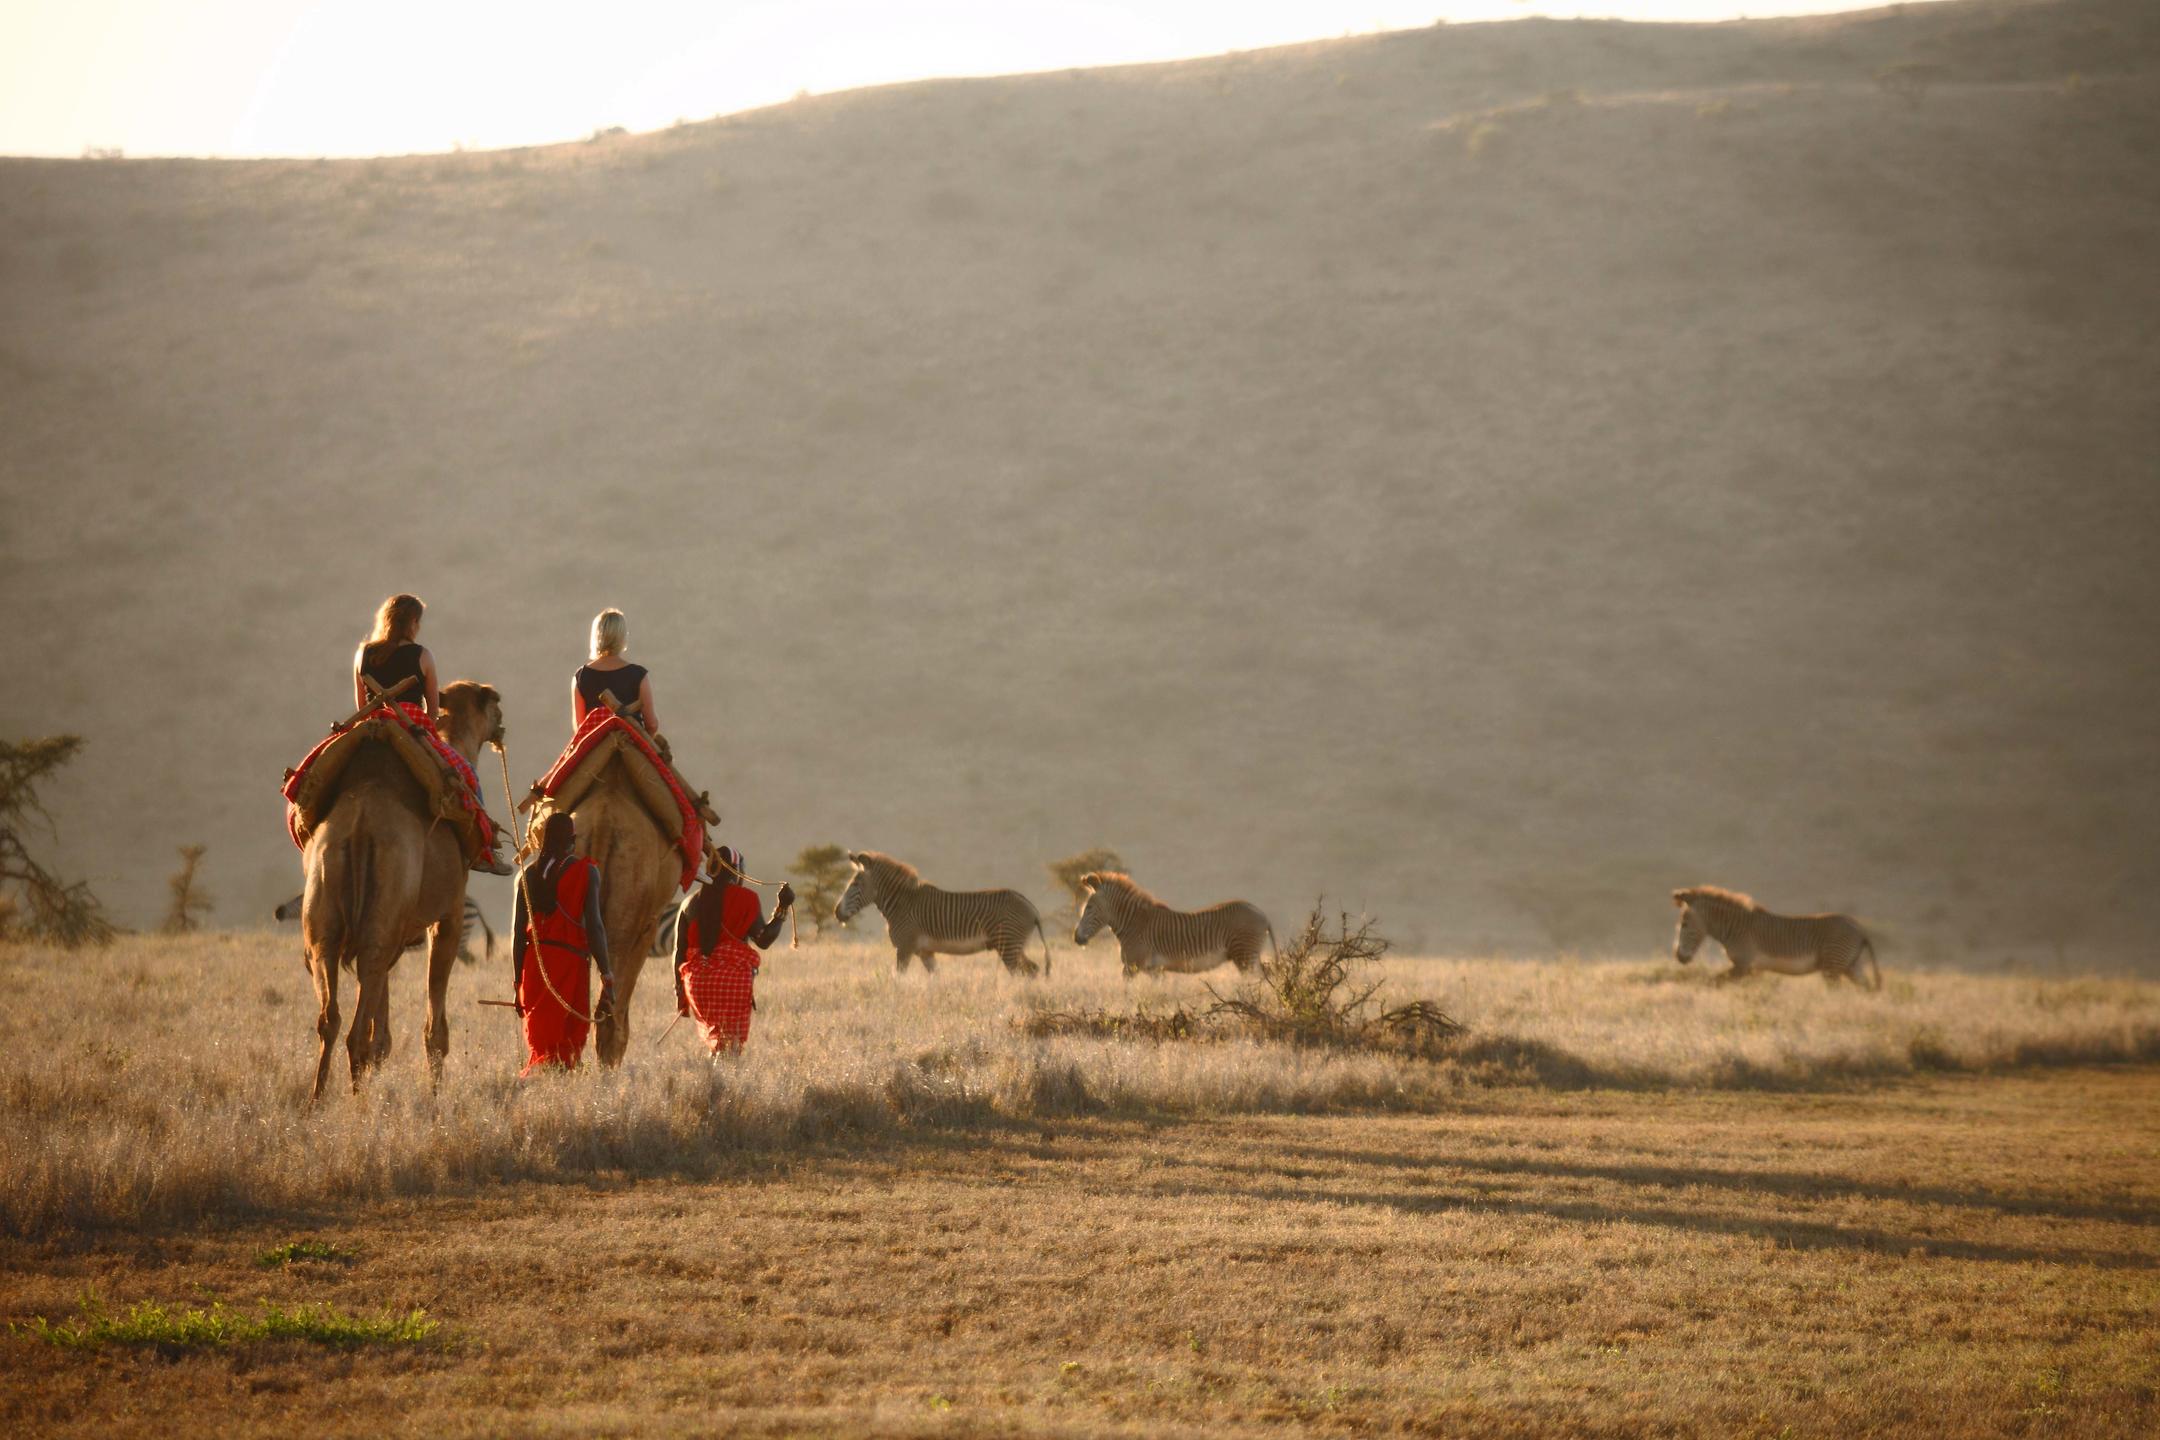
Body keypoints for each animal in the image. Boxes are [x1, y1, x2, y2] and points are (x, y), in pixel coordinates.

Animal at [299, 680, 504, 1099]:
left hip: (329, 910)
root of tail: (360, 826)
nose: (502, 719)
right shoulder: (448, 914)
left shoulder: (394, 932)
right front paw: (435, 1093)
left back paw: (318, 1100)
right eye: (492, 702)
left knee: (332, 1013)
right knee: (355, 1028)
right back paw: (357, 1103)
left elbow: (382, 1027)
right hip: (389, 905)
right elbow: (435, 1025)